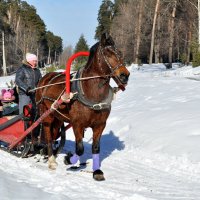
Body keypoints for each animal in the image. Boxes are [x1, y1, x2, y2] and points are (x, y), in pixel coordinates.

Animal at [35, 33, 130, 180]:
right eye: (107, 53)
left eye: (119, 53)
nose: (125, 75)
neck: (91, 93)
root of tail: (45, 78)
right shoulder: (77, 124)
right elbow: (79, 149)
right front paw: (68, 159)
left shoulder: (100, 124)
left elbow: (95, 148)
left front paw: (97, 171)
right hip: (47, 115)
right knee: (49, 136)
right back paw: (51, 160)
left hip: (58, 118)